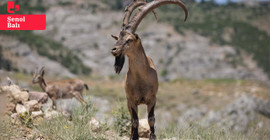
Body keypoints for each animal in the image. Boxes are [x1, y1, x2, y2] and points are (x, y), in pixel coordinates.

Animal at [109, 0, 188, 139]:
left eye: (129, 39)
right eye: (118, 38)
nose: (114, 50)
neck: (141, 79)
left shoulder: (152, 99)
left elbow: (151, 119)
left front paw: (153, 136)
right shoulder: (131, 100)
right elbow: (135, 120)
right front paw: (134, 137)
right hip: (128, 102)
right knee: (131, 119)